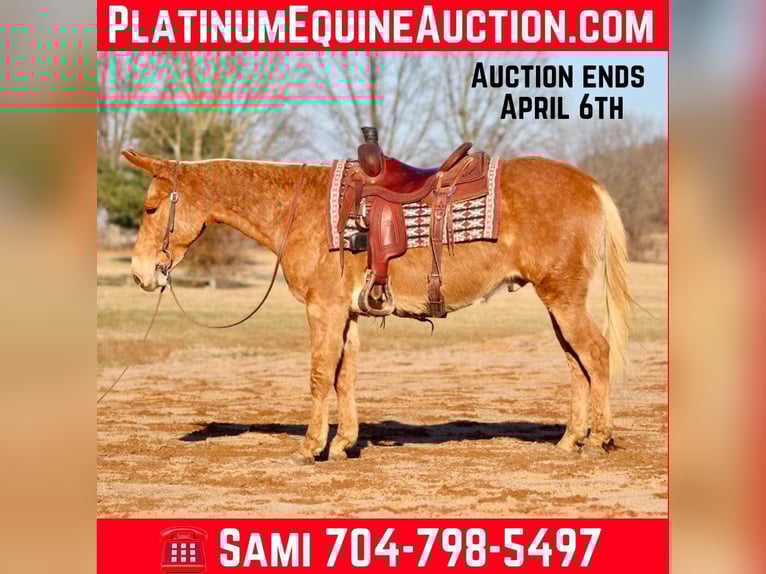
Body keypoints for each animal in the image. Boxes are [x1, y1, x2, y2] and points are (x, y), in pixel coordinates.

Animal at [122, 149, 631, 464]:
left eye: (150, 208)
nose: (140, 274)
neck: (301, 208)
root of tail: (589, 184)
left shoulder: (323, 311)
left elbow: (319, 375)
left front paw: (311, 447)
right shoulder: (346, 315)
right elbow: (343, 377)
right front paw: (344, 443)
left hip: (563, 298)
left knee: (597, 354)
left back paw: (599, 439)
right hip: (558, 301)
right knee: (577, 363)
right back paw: (570, 440)